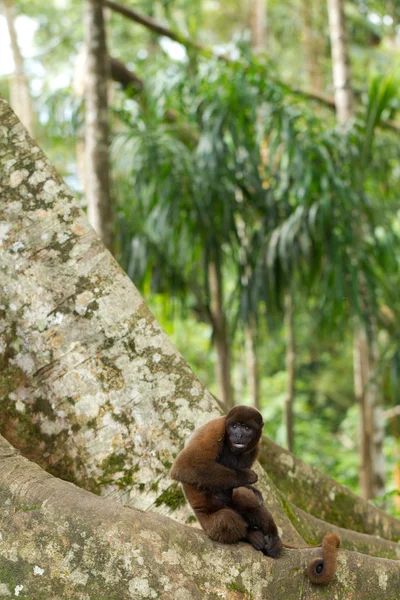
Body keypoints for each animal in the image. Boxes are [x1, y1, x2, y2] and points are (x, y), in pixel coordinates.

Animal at [170, 406, 340, 584]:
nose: (238, 435)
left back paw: (273, 538)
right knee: (226, 517)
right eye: (234, 426)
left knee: (244, 496)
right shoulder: (214, 429)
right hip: (207, 524)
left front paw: (253, 489)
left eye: (247, 428)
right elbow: (185, 467)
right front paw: (245, 476)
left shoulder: (255, 446)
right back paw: (249, 535)